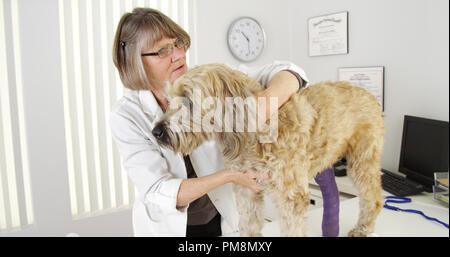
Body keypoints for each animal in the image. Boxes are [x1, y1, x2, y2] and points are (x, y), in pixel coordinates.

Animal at [153, 63, 384, 235]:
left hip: (362, 161)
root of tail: (368, 94)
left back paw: (363, 227)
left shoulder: (291, 197)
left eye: (186, 100)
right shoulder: (247, 191)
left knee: (373, 197)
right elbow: (248, 226)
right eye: (168, 99)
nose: (156, 132)